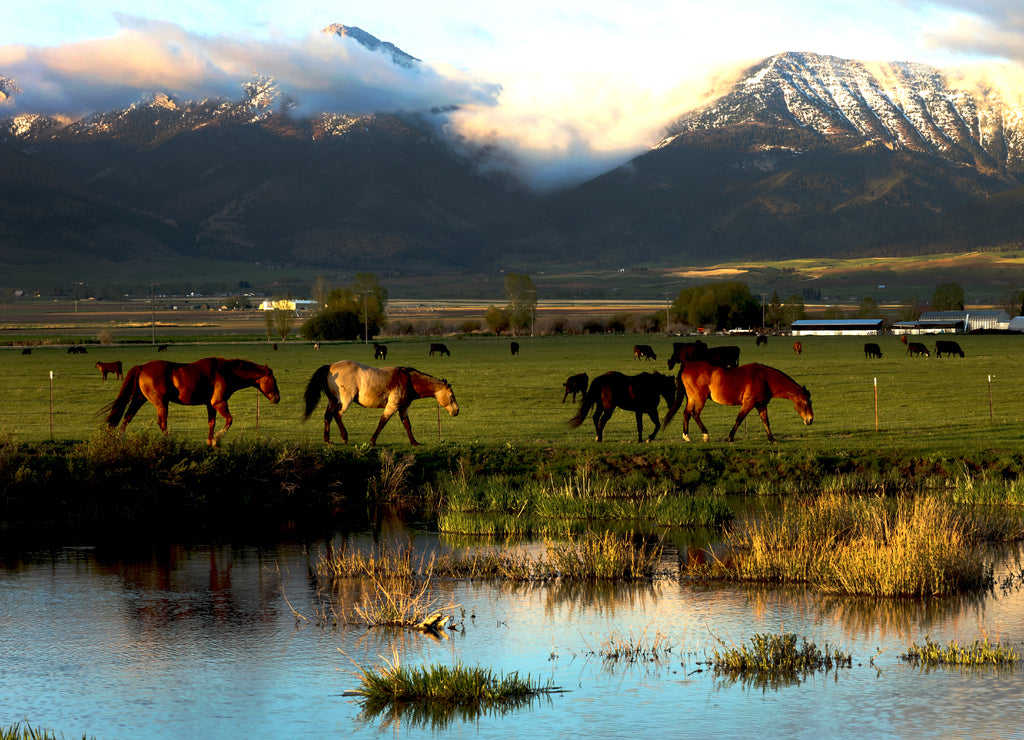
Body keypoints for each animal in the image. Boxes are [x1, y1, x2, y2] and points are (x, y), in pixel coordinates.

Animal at [103, 358, 280, 447]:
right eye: (273, 380)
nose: (277, 398)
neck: (226, 371)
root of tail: (142, 367)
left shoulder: (210, 405)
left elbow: (212, 423)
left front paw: (210, 441)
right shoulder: (219, 403)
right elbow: (229, 420)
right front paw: (217, 439)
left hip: (140, 399)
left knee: (128, 416)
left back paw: (118, 438)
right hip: (161, 402)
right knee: (162, 422)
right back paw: (170, 441)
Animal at [302, 361, 458, 445]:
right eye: (451, 396)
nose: (457, 411)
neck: (408, 380)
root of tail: (330, 367)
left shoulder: (402, 408)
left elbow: (407, 425)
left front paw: (414, 442)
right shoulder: (392, 406)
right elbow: (382, 422)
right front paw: (372, 441)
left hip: (332, 401)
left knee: (328, 416)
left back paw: (327, 440)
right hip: (345, 401)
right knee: (337, 415)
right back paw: (344, 438)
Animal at [663, 361, 813, 443]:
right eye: (807, 403)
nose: (810, 420)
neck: (765, 378)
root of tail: (687, 366)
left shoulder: (761, 404)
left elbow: (766, 421)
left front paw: (772, 438)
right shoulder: (749, 403)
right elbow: (739, 419)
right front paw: (730, 437)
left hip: (692, 398)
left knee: (686, 413)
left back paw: (686, 436)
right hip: (700, 398)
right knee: (695, 414)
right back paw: (705, 435)